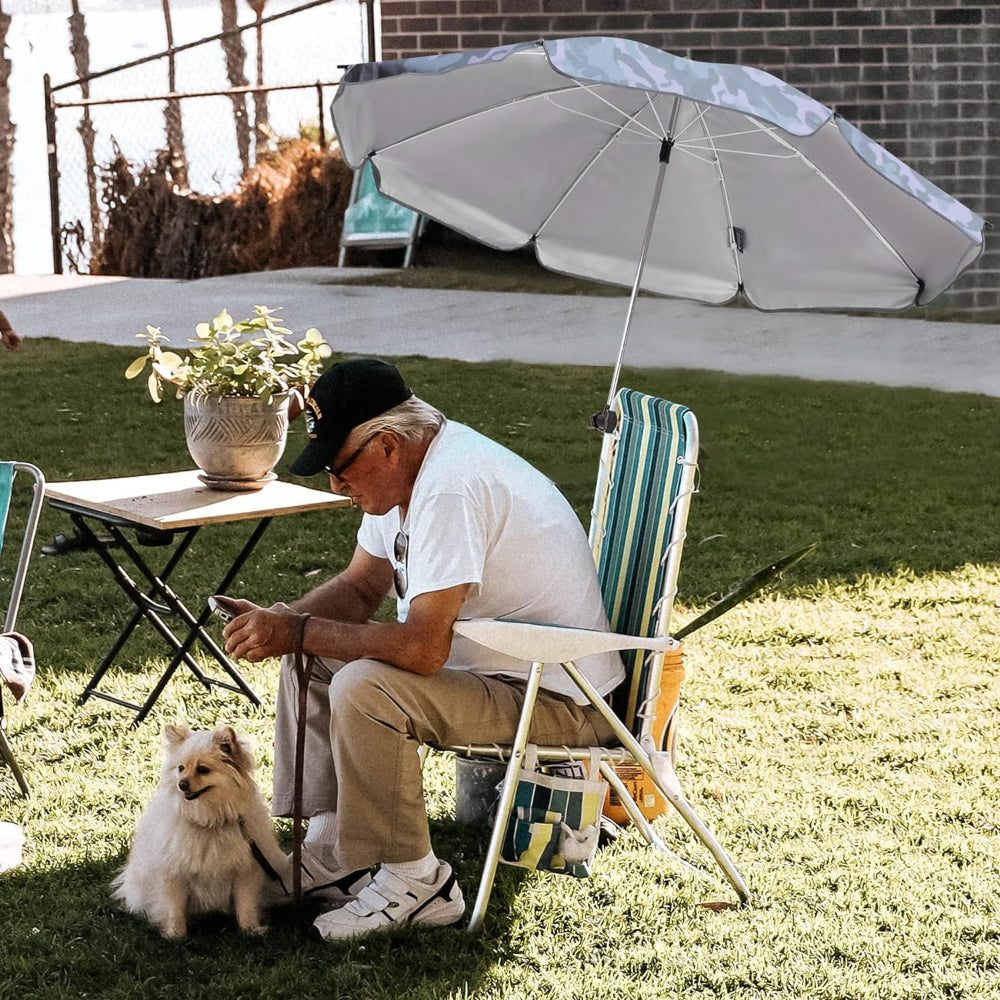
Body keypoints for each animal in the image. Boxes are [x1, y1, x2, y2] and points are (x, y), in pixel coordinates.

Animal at [114, 724, 284, 940]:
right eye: (180, 768)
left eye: (203, 769)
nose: (181, 784)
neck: (209, 819)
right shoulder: (173, 873)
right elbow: (175, 907)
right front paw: (175, 935)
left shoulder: (245, 870)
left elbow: (245, 904)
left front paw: (250, 930)